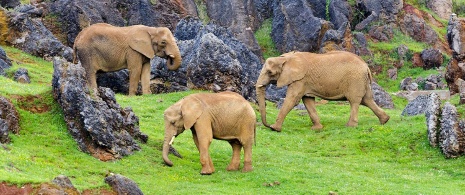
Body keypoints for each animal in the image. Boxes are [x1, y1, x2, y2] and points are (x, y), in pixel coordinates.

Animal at [256, 51, 390, 132]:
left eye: (270, 72)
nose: (267, 125)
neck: (286, 58)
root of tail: (366, 66)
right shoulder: (305, 82)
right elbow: (308, 100)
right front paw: (316, 129)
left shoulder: (300, 79)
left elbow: (292, 100)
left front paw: (275, 129)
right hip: (362, 81)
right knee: (367, 100)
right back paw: (385, 120)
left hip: (355, 80)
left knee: (355, 101)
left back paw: (350, 126)